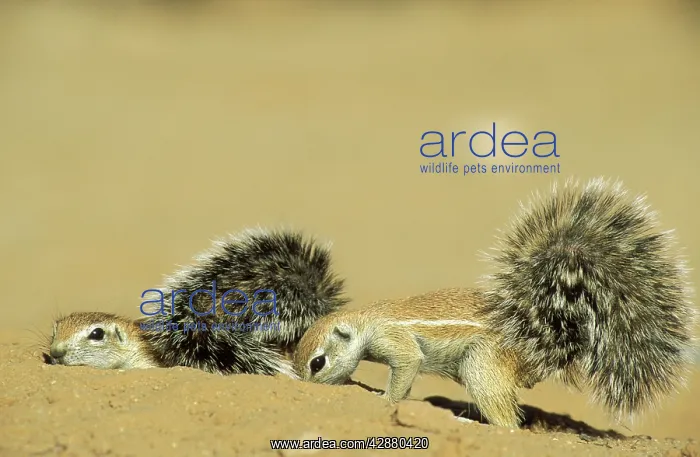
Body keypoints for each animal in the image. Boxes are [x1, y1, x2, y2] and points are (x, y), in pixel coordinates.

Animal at [293, 177, 697, 428]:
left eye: (317, 362)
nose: (308, 389)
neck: (365, 320)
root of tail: (544, 336)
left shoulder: (394, 341)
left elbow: (406, 368)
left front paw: (384, 400)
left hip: (482, 366)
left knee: (509, 423)